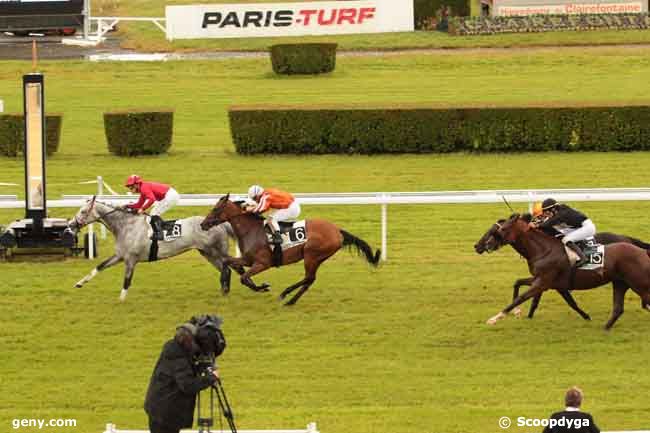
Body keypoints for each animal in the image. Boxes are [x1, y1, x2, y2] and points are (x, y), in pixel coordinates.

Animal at [69, 196, 232, 300]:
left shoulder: (131, 259)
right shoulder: (120, 256)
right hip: (207, 253)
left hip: (216, 251)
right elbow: (100, 266)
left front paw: (121, 300)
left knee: (226, 269)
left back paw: (225, 291)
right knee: (224, 270)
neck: (126, 226)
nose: (71, 225)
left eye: (83, 211)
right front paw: (79, 283)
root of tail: (221, 223)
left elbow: (127, 280)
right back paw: (224, 291)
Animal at [199, 194, 380, 306]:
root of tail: (337, 231)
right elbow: (227, 262)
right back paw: (290, 300)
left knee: (309, 278)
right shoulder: (248, 259)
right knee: (309, 280)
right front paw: (225, 285)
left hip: (311, 255)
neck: (251, 230)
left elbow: (244, 278)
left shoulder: (263, 263)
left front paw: (263, 287)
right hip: (317, 258)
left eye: (216, 209)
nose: (203, 224)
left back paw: (285, 295)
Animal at [478, 212, 648, 328]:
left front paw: (495, 318)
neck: (544, 249)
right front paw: (519, 312)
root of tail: (628, 239)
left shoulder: (543, 282)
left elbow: (523, 297)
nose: (482, 245)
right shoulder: (545, 281)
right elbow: (518, 283)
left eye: (502, 229)